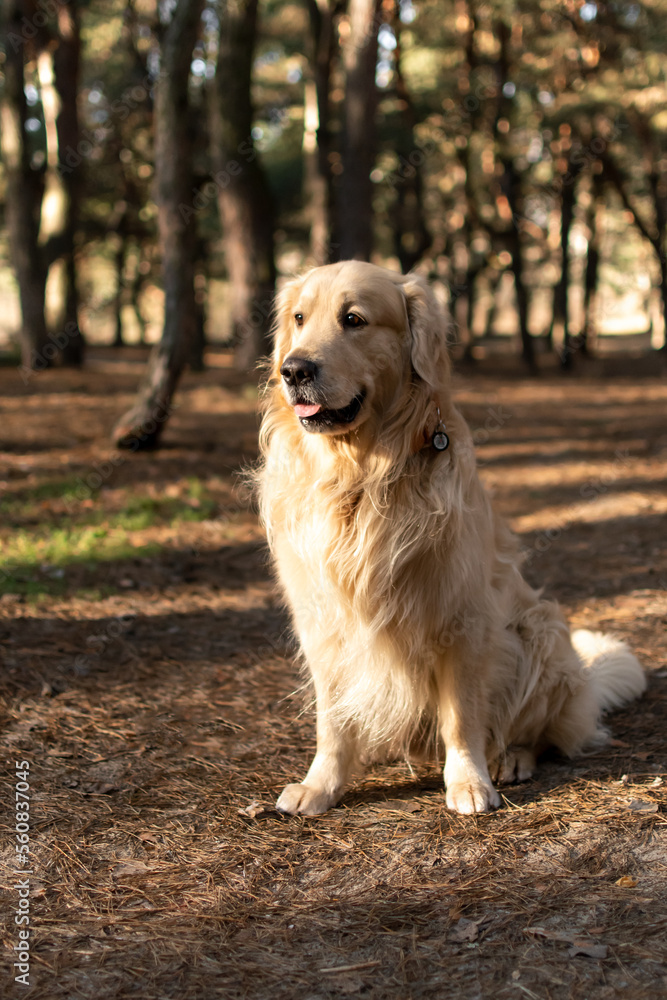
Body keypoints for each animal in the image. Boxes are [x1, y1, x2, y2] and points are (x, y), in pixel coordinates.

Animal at [258, 262, 648, 816]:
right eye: (298, 318)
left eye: (353, 319)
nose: (294, 370)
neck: (361, 476)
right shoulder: (323, 622)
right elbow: (332, 720)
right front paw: (321, 785)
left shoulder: (462, 617)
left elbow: (462, 715)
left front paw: (468, 782)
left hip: (540, 631)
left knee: (538, 733)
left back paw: (511, 758)